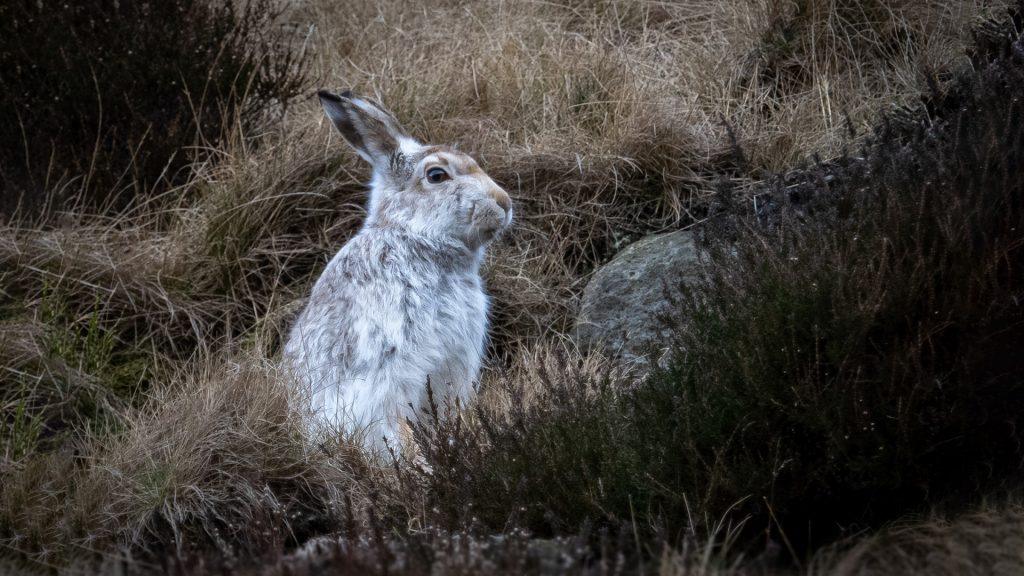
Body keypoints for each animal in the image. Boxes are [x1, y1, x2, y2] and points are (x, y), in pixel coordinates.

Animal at [283, 90, 513, 451]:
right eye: (437, 175)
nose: (504, 203)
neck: (414, 237)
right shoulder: (390, 361)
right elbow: (392, 425)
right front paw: (416, 462)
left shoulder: (455, 365)